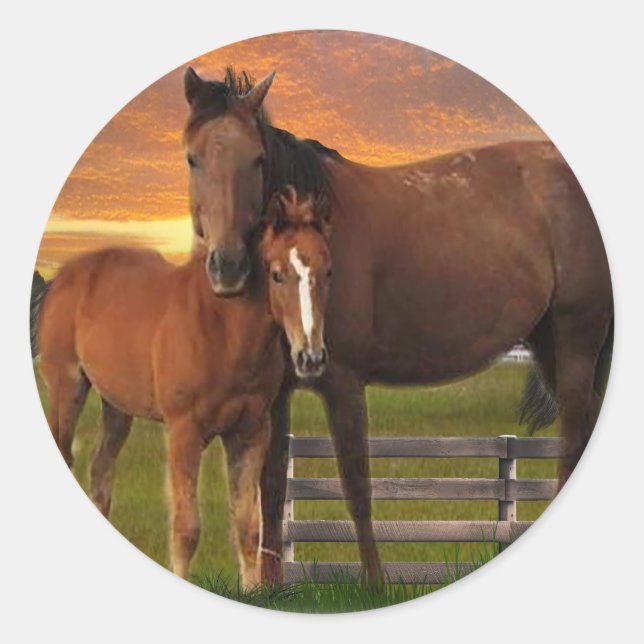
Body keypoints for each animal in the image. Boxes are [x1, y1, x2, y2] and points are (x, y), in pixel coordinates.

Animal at [34, 185, 333, 586]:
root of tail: (66, 275)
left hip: (117, 407)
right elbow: (186, 528)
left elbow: (248, 526)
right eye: (276, 274)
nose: (310, 357)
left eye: (328, 271)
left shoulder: (251, 432)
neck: (224, 332)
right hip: (67, 390)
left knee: (100, 472)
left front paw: (252, 590)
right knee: (67, 454)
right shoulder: (184, 432)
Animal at [184, 67, 613, 585]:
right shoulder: (277, 392)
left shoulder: (343, 380)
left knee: (573, 438)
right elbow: (270, 486)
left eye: (257, 159)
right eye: (193, 158)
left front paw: (375, 583)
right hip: (549, 344)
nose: (228, 266)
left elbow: (356, 484)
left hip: (576, 339)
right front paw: (270, 587)